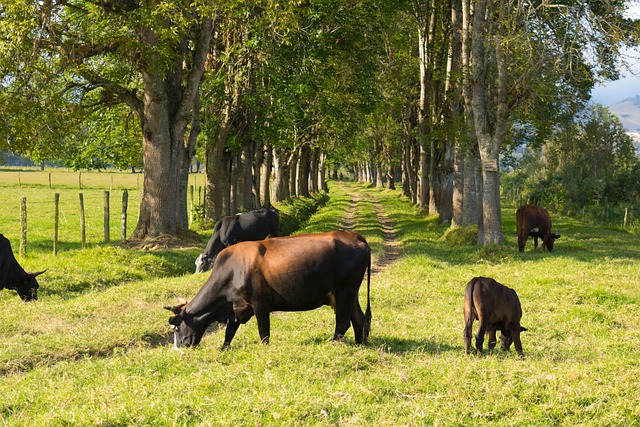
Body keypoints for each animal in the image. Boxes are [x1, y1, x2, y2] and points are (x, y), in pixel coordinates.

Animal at [168, 232, 372, 350]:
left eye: (176, 327)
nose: (179, 348)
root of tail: (354, 236)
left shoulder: (260, 304)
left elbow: (263, 331)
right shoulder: (236, 307)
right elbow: (229, 333)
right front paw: (223, 349)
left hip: (345, 290)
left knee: (343, 322)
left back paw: (335, 343)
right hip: (349, 294)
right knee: (359, 319)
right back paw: (359, 345)